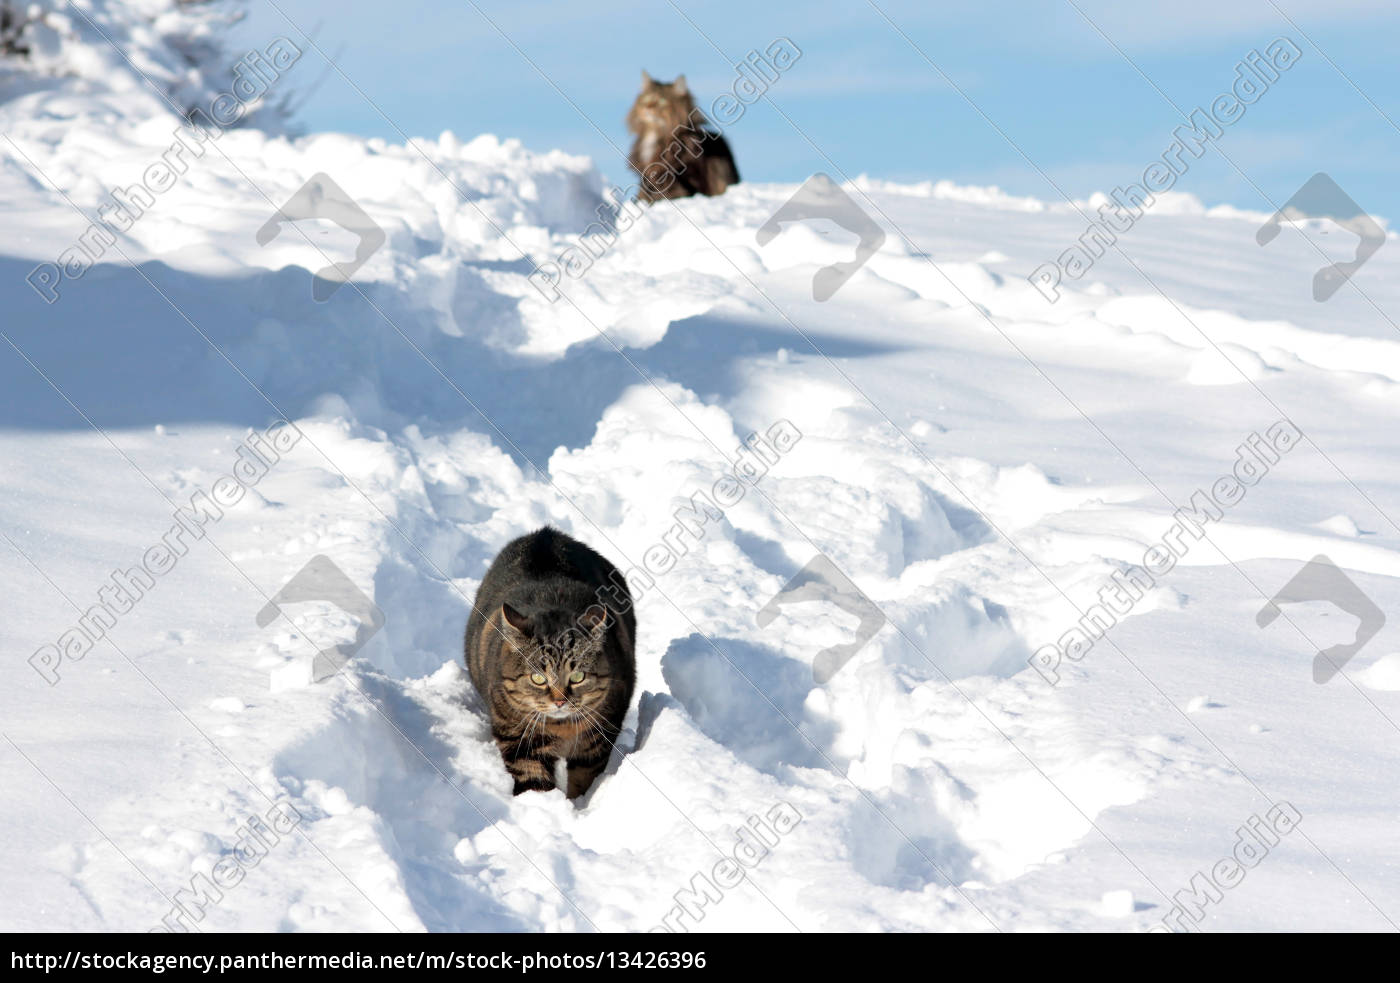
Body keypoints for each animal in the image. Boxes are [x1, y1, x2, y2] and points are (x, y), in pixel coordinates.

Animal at [462, 532, 638, 800]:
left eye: (577, 676)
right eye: (538, 678)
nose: (559, 701)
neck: (561, 728)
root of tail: (546, 534)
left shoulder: (598, 737)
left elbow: (584, 780)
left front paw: (578, 804)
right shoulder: (519, 739)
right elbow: (533, 778)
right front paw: (540, 804)